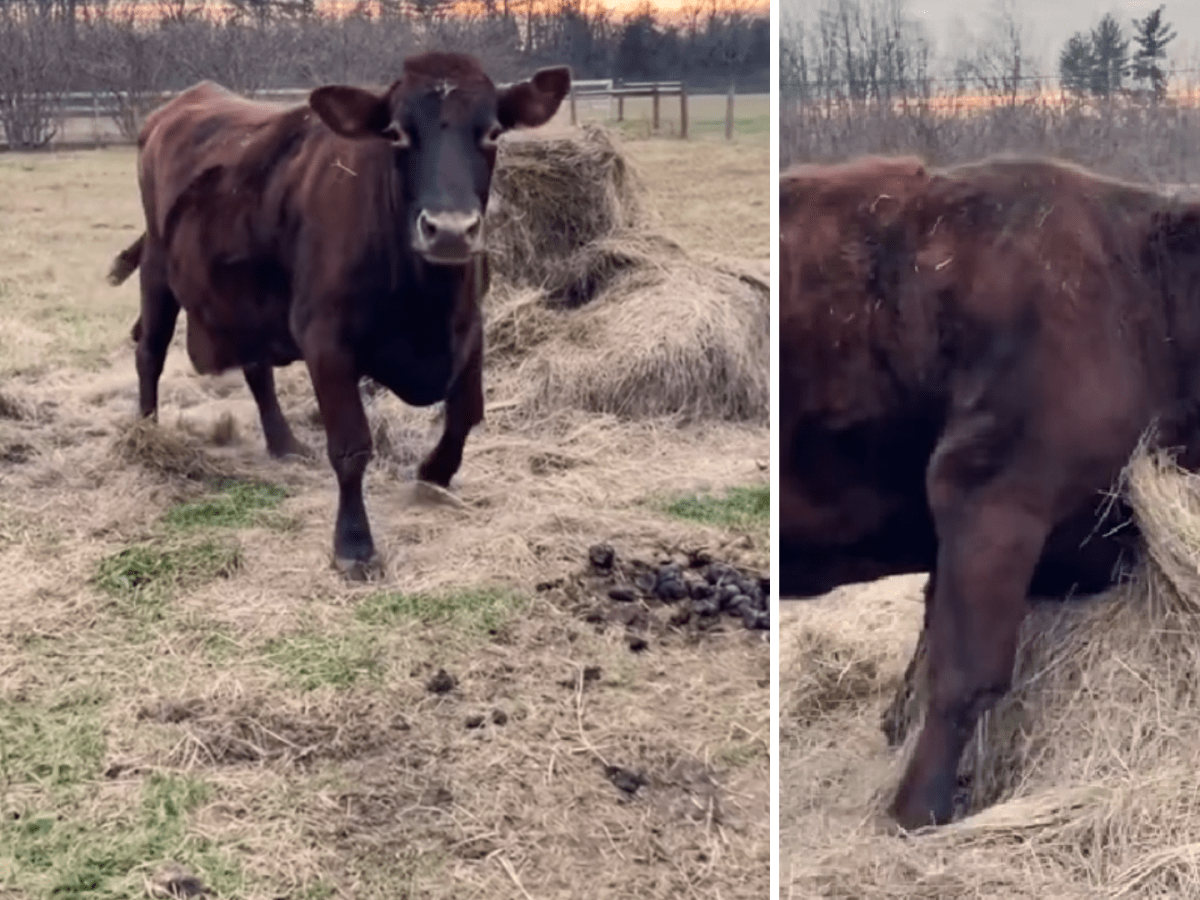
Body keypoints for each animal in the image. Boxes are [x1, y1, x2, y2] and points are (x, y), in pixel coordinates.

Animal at [106, 54, 566, 578]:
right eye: (396, 133)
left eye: (491, 132)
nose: (450, 231)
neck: (425, 303)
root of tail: (180, 104)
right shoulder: (325, 341)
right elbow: (350, 446)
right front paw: (354, 543)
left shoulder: (470, 326)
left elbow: (467, 413)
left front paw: (435, 472)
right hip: (158, 268)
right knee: (150, 353)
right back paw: (146, 435)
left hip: (247, 299)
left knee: (256, 367)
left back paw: (283, 443)